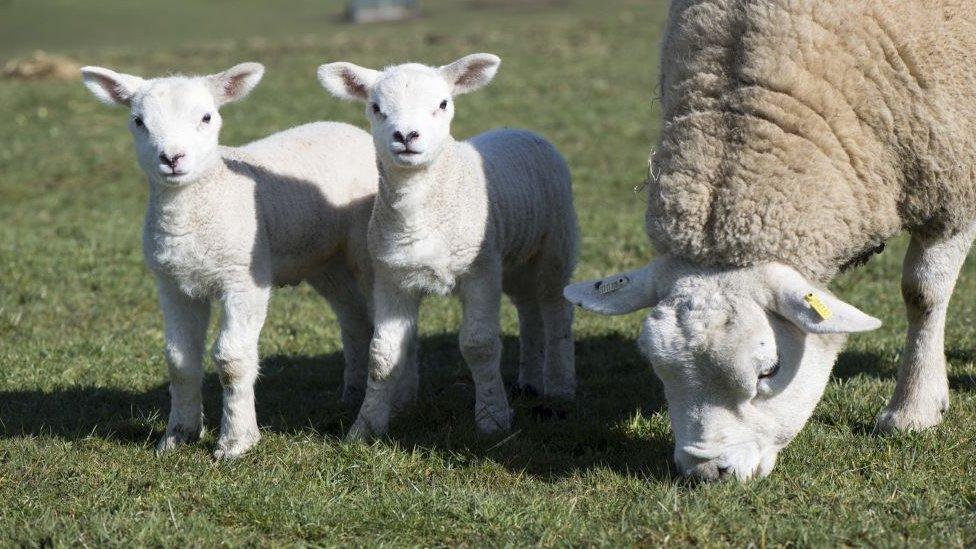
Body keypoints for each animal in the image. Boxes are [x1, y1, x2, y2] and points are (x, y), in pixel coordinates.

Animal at [81, 61, 382, 458]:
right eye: (138, 121)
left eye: (207, 117)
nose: (172, 158)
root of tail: (346, 128)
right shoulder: (173, 284)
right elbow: (179, 360)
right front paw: (177, 436)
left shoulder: (242, 279)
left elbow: (232, 360)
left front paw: (236, 441)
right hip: (322, 258)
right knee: (353, 318)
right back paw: (351, 395)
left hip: (363, 247)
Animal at [320, 51, 580, 436]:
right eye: (376, 107)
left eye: (442, 104)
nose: (406, 135)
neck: (421, 211)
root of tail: (520, 130)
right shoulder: (392, 279)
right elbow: (382, 355)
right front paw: (365, 427)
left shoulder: (479, 271)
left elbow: (479, 345)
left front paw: (492, 418)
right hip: (513, 258)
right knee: (528, 308)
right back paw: (529, 382)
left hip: (555, 244)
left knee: (555, 307)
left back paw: (560, 386)